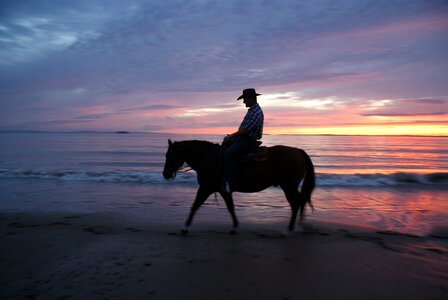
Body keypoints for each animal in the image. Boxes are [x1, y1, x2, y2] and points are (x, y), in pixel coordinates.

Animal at [162, 139, 316, 233]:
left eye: (170, 155)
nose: (165, 174)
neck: (209, 159)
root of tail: (297, 151)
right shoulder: (223, 190)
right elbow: (230, 207)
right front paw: (235, 227)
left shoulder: (206, 187)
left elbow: (195, 205)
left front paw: (185, 228)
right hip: (290, 186)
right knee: (301, 200)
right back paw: (300, 226)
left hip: (288, 186)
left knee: (296, 203)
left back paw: (289, 230)